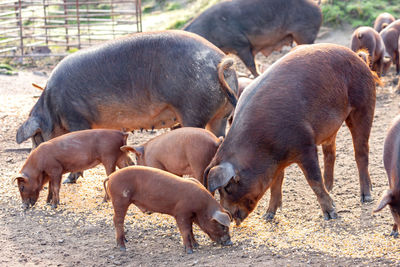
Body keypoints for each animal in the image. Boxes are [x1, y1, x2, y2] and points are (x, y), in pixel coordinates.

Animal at [16, 29, 238, 184]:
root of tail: (219, 60)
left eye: (36, 136)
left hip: (193, 110)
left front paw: (70, 180)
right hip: (221, 115)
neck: (51, 109)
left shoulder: (77, 119)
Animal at [103, 166, 233, 254]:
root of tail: (111, 176)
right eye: (222, 226)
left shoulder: (190, 216)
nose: (230, 243)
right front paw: (190, 251)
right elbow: (185, 231)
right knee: (117, 220)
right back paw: (122, 247)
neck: (201, 208)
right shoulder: (181, 213)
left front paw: (197, 245)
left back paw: (125, 241)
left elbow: (191, 230)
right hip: (120, 200)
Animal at [203, 43, 378, 226]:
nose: (228, 215)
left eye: (228, 187)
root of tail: (358, 57)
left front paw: (331, 215)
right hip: (331, 126)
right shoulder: (277, 161)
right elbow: (275, 183)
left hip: (364, 105)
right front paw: (268, 216)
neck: (260, 145)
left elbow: (313, 180)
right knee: (330, 152)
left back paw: (366, 197)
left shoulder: (305, 146)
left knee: (361, 152)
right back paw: (332, 188)